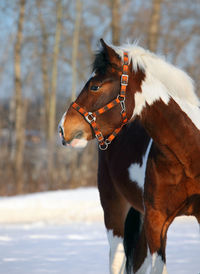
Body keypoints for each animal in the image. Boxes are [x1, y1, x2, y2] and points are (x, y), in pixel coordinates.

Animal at [58, 39, 199, 274]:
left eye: (95, 86)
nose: (63, 128)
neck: (188, 156)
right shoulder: (156, 221)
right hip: (114, 212)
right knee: (117, 261)